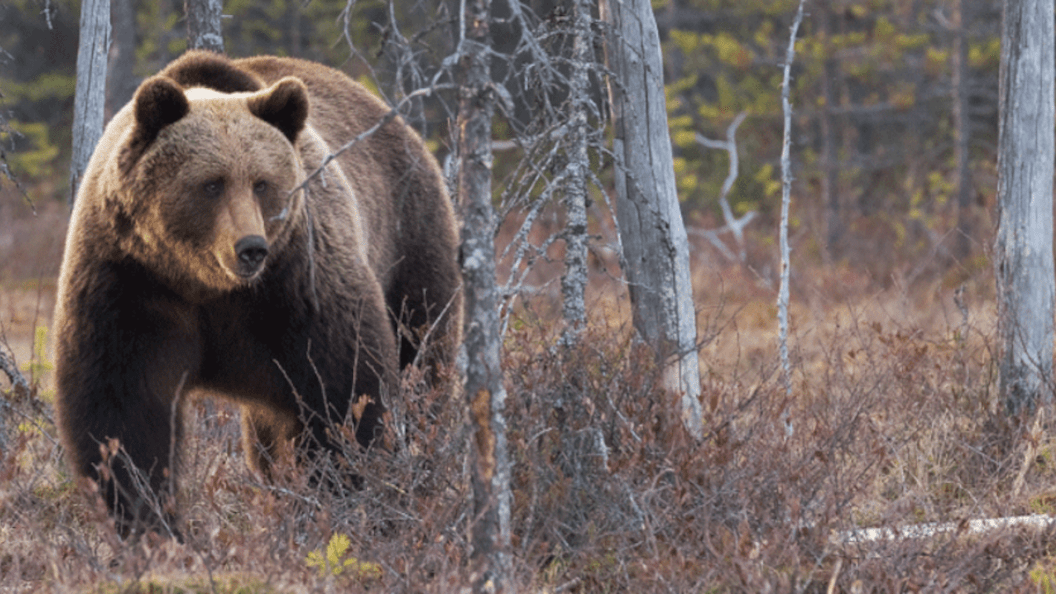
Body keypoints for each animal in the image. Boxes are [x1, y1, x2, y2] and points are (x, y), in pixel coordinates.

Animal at [53, 51, 462, 536]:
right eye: (211, 183)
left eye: (262, 182)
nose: (250, 247)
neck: (206, 284)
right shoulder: (130, 281)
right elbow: (123, 408)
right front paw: (147, 520)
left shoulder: (298, 283)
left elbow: (344, 390)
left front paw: (339, 498)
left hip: (410, 244)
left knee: (421, 362)